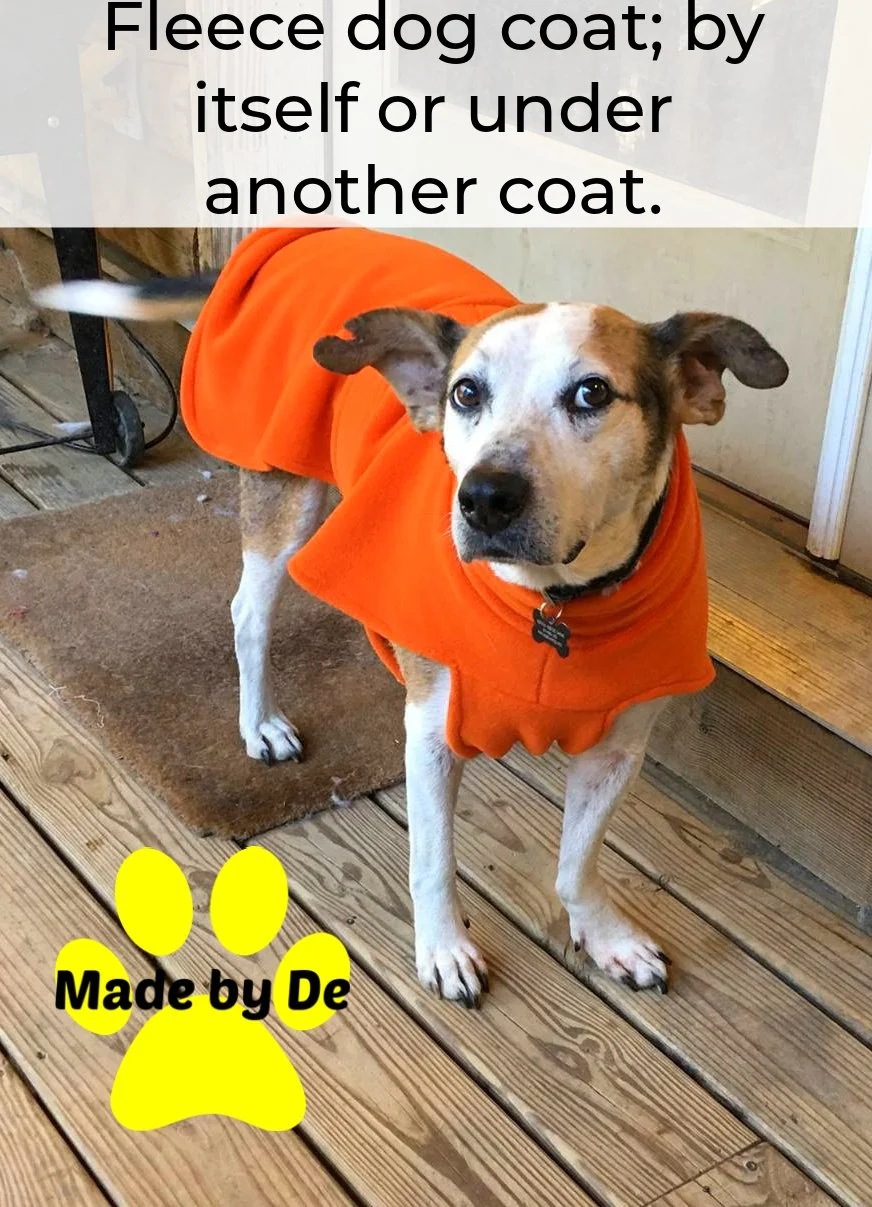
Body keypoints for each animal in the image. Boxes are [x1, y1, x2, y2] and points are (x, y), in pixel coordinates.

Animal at [37, 226, 789, 1007]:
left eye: (592, 392)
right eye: (466, 392)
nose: (484, 497)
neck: (553, 602)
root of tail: (294, 237)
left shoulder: (617, 750)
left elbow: (578, 862)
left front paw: (604, 935)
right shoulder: (431, 735)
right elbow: (433, 858)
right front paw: (445, 948)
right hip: (284, 495)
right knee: (249, 612)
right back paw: (260, 722)